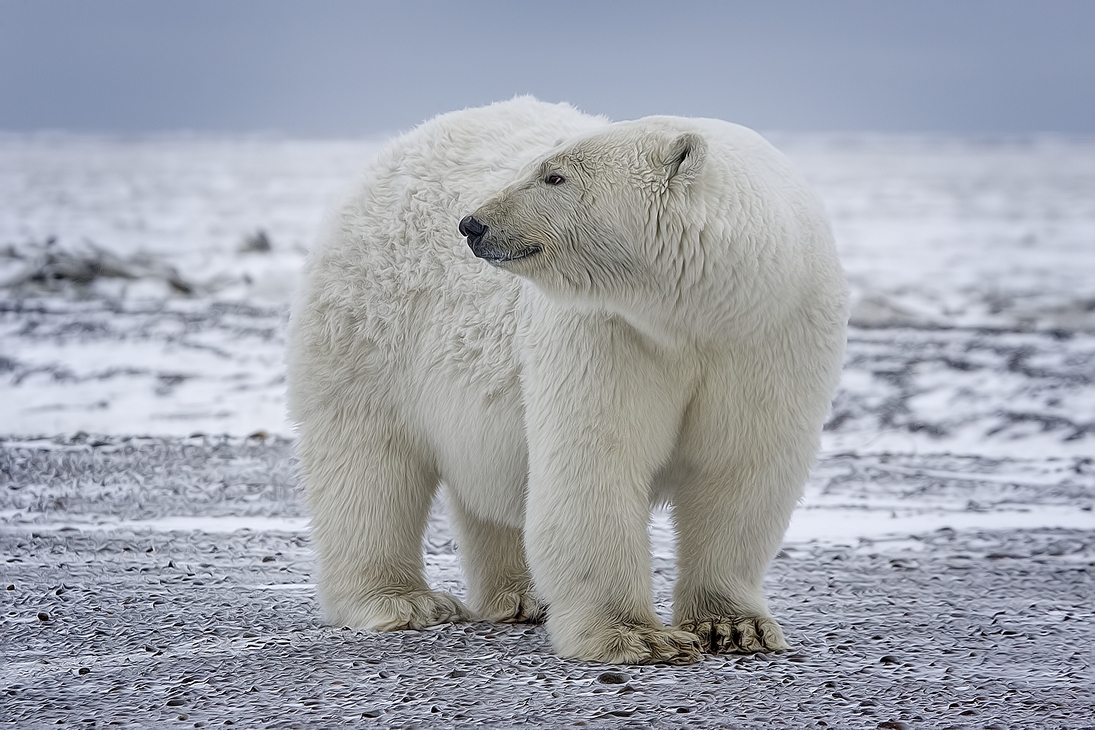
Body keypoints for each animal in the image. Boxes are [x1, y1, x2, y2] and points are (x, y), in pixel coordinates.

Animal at [289, 98, 845, 669]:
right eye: (536, 167)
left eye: (554, 176)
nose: (471, 224)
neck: (698, 314)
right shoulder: (609, 332)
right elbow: (594, 463)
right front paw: (640, 637)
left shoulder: (768, 338)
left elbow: (740, 470)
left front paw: (733, 626)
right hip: (371, 326)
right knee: (369, 462)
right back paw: (404, 601)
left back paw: (521, 597)